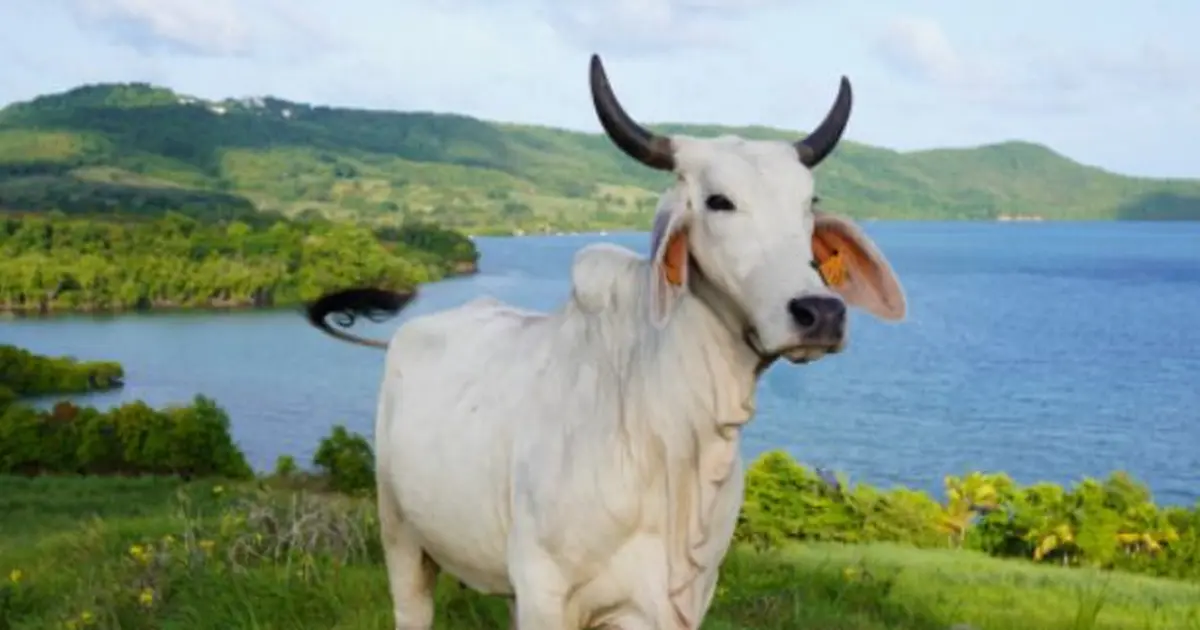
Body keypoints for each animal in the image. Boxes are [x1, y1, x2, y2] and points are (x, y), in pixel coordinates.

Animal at [304, 54, 907, 630]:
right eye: (719, 201)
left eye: (809, 204)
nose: (821, 312)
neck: (670, 436)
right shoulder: (544, 590)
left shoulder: (680, 601)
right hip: (402, 537)